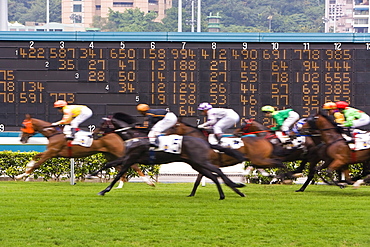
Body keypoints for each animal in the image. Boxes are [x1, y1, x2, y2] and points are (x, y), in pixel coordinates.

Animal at [16, 116, 153, 186]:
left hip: (117, 151)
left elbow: (37, 164)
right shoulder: (52, 152)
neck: (54, 133)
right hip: (108, 154)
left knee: (133, 165)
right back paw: (120, 184)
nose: (21, 139)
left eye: (23, 126)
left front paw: (20, 176)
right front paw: (23, 172)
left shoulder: (52, 152)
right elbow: (34, 157)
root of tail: (115, 133)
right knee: (119, 167)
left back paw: (149, 182)